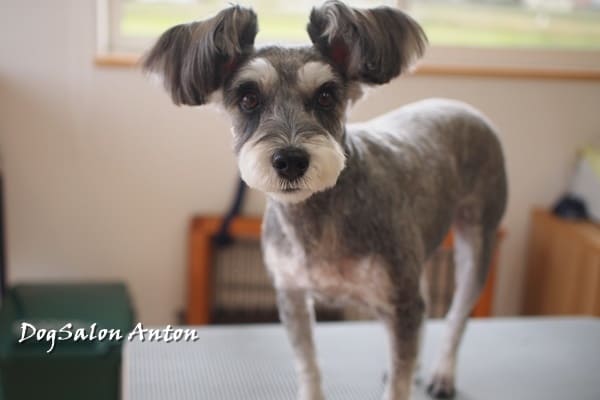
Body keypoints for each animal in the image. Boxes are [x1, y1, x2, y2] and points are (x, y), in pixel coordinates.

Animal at [143, 2, 507, 399]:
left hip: (476, 242)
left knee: (456, 316)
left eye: (326, 96)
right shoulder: (293, 295)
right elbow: (308, 364)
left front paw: (406, 376)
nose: (290, 160)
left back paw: (442, 374)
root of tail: (463, 108)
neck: (319, 213)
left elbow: (399, 380)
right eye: (248, 98)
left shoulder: (400, 300)